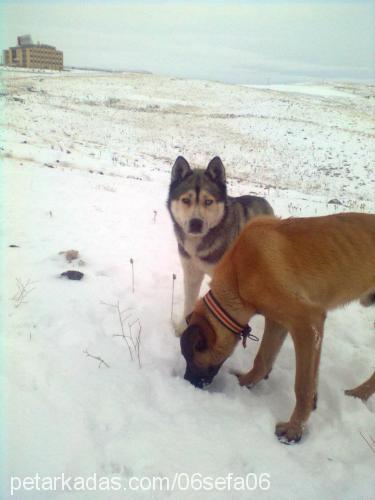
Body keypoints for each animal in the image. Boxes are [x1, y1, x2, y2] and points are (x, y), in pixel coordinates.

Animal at [168, 154, 274, 330]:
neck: (199, 245)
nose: (196, 223)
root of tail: (264, 201)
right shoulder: (191, 272)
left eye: (208, 201)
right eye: (186, 200)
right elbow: (189, 303)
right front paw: (183, 328)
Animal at [180, 211, 375, 442]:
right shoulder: (278, 321)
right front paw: (246, 382)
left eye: (193, 359)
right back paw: (358, 394)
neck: (238, 275)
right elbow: (263, 360)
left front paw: (294, 429)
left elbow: (303, 385)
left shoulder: (307, 322)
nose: (187, 384)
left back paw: (358, 393)